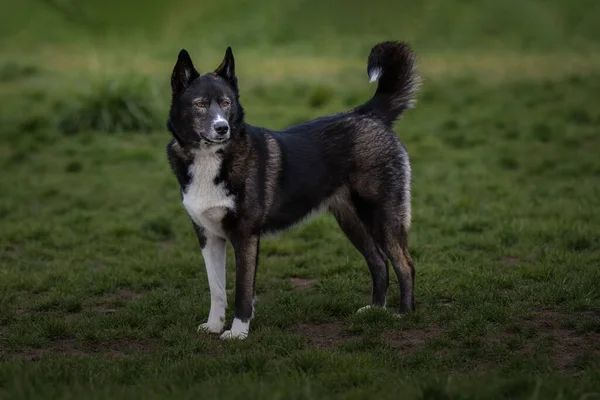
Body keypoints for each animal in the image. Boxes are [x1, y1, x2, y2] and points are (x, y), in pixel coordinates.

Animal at [166, 40, 420, 340]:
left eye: (226, 103)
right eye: (200, 104)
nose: (222, 128)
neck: (211, 158)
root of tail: (368, 115)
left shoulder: (245, 236)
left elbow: (242, 290)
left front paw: (238, 332)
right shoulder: (208, 237)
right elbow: (216, 289)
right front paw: (215, 326)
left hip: (383, 217)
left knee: (405, 264)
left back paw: (403, 315)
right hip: (352, 222)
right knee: (379, 261)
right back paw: (376, 309)